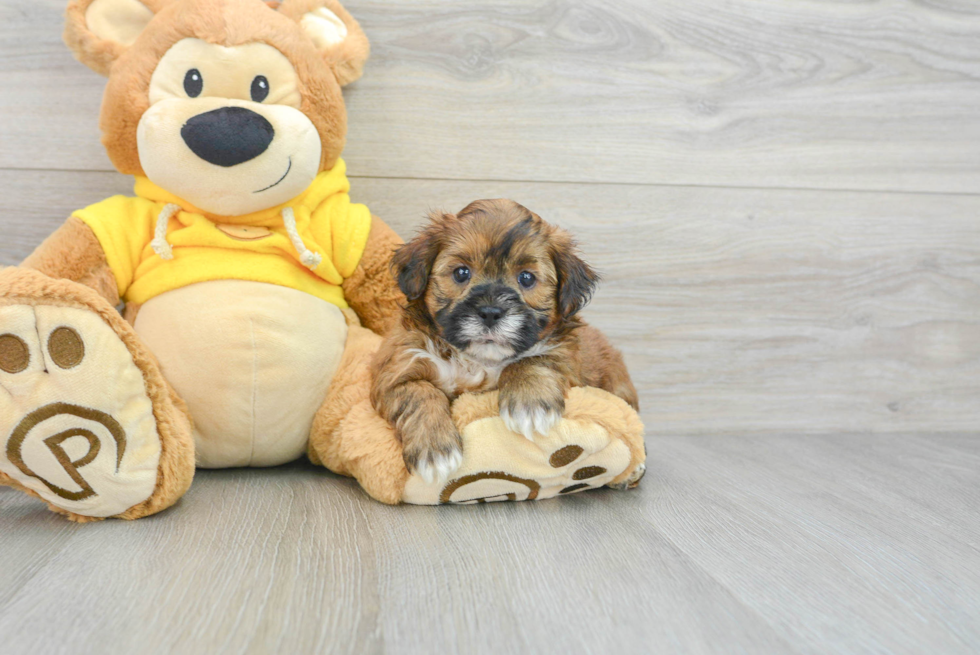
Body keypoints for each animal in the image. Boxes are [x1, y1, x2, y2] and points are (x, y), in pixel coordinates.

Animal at [372, 199, 640, 482]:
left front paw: (529, 405)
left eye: (526, 278)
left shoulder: (565, 354)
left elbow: (532, 360)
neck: (479, 361)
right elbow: (420, 394)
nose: (490, 312)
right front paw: (435, 449)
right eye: (461, 273)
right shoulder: (397, 368)